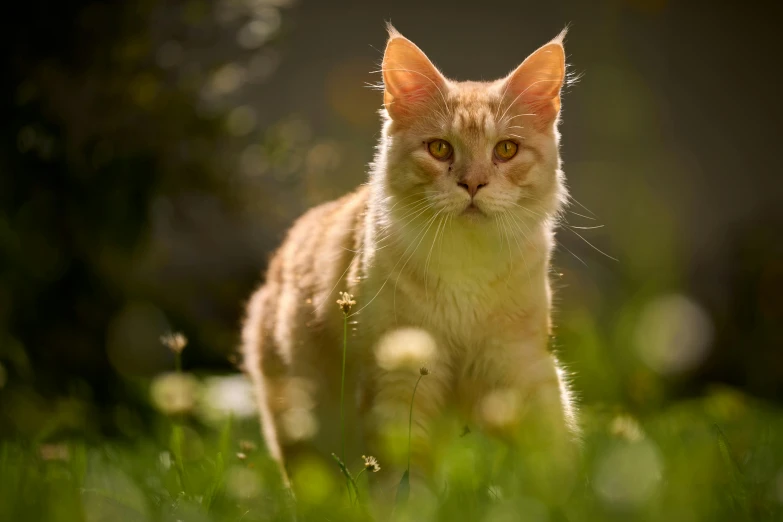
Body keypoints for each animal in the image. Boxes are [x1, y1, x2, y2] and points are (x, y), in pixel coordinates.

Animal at [242, 23, 580, 504]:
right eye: (439, 149)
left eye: (505, 150)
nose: (473, 184)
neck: (466, 268)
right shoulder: (398, 380)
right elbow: (403, 477)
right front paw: (410, 507)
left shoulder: (522, 363)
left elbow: (555, 449)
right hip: (300, 422)